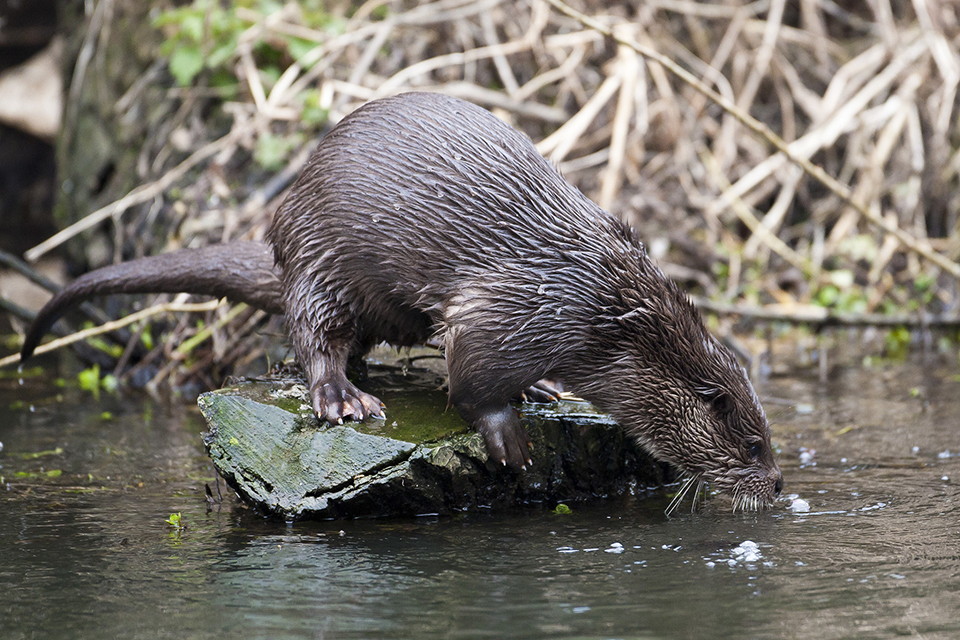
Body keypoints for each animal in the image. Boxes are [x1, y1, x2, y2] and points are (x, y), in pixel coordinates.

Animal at [21, 92, 782, 509]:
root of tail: (279, 227)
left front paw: (535, 392)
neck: (604, 312)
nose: (775, 485)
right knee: (315, 339)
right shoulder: (515, 310)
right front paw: (507, 436)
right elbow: (471, 376)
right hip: (323, 264)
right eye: (751, 443)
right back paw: (342, 399)